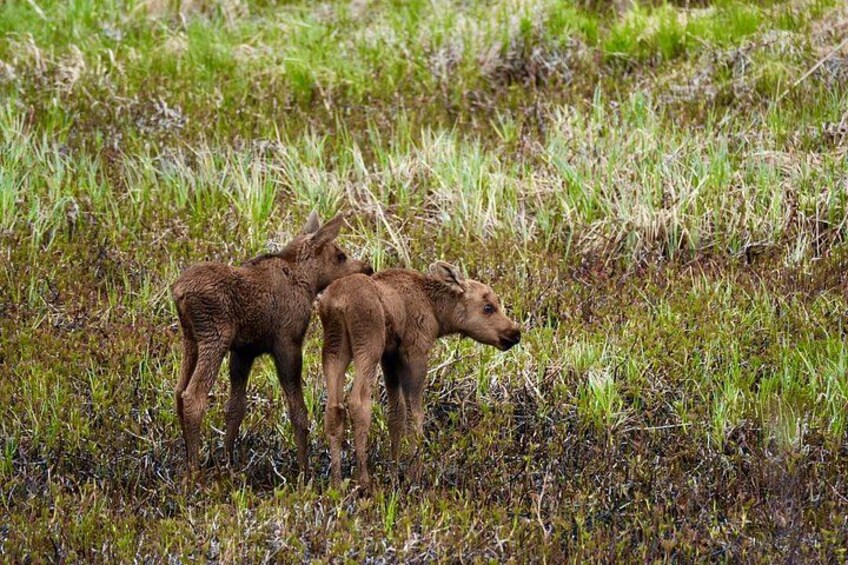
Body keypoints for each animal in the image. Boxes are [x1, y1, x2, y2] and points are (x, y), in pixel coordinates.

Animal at [171, 212, 372, 474]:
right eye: (340, 255)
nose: (368, 268)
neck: (308, 282)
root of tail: (178, 291)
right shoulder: (288, 343)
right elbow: (298, 411)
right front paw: (304, 470)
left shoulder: (243, 351)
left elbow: (235, 407)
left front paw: (228, 463)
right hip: (214, 337)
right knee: (193, 396)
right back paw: (195, 472)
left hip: (190, 338)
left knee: (178, 391)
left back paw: (187, 460)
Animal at [318, 261, 522, 488]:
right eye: (488, 307)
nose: (515, 333)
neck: (437, 313)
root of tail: (337, 304)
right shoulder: (415, 351)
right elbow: (415, 415)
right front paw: (415, 472)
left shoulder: (390, 357)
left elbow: (396, 414)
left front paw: (395, 471)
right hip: (369, 343)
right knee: (358, 403)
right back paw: (363, 480)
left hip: (335, 347)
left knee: (333, 407)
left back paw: (336, 482)